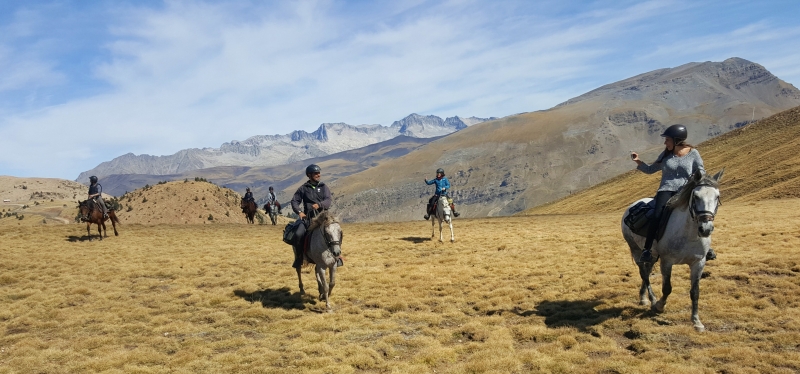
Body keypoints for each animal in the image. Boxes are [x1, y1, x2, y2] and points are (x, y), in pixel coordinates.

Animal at [620, 168, 720, 332]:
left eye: (717, 197)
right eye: (695, 196)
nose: (705, 229)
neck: (689, 234)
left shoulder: (699, 262)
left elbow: (695, 292)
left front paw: (696, 322)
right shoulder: (667, 261)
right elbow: (667, 288)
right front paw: (659, 306)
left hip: (652, 255)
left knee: (647, 271)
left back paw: (643, 298)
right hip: (636, 250)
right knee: (644, 274)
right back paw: (652, 299)